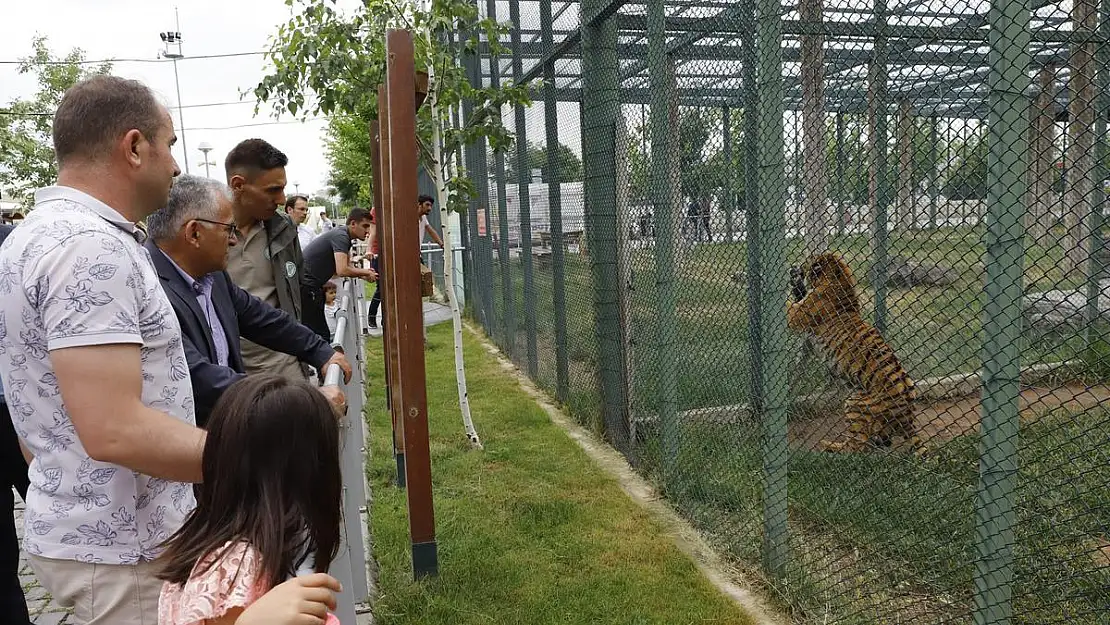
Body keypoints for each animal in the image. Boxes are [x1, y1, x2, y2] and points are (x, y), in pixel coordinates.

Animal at [785, 251, 932, 457]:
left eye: (809, 260)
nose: (799, 266)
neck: (839, 279)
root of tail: (909, 417)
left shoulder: (796, 315)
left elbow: (788, 304)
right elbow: (799, 294)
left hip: (854, 403)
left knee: (856, 447)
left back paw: (829, 446)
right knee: (875, 441)